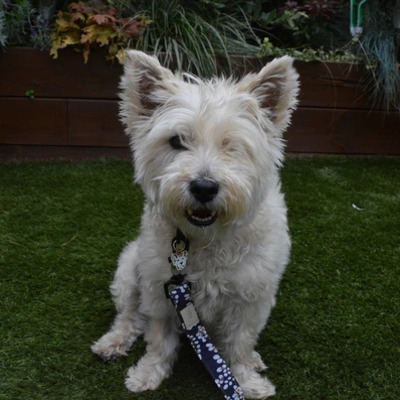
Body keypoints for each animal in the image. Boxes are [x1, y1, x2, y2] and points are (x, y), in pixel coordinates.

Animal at [92, 49, 298, 396]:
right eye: (176, 141)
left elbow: (240, 343)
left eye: (231, 145)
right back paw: (112, 343)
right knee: (129, 315)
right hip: (129, 270)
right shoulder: (160, 288)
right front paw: (148, 374)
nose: (203, 187)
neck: (207, 238)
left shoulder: (251, 297)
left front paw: (246, 382)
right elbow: (158, 338)